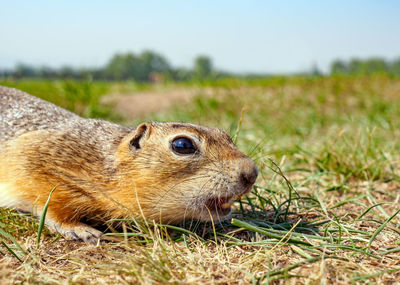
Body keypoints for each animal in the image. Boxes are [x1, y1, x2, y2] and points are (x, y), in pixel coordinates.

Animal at [0, 86, 258, 242]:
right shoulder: (37, 161)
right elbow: (49, 205)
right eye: (182, 144)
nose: (252, 172)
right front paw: (81, 230)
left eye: (226, 135)